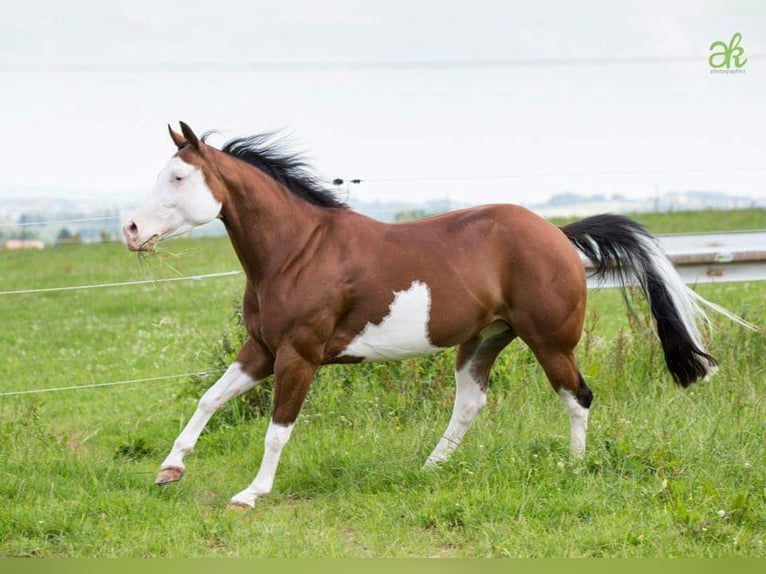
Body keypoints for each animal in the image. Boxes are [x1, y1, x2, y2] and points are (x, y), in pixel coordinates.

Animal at [123, 122, 751, 509]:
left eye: (178, 177)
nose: (131, 230)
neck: (298, 251)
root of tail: (557, 233)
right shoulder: (260, 349)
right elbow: (209, 400)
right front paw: (169, 470)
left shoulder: (299, 356)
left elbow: (278, 429)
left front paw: (250, 494)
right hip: (483, 341)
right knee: (471, 404)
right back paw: (430, 469)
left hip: (549, 342)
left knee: (578, 397)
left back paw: (572, 469)